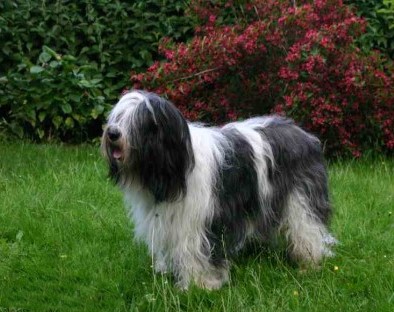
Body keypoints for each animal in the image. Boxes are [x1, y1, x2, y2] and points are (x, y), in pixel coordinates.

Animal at [101, 89, 336, 290]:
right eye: (117, 116)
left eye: (139, 121)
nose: (112, 133)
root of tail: (305, 135)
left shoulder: (199, 221)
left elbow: (196, 250)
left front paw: (198, 285)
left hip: (301, 197)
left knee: (307, 226)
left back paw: (309, 260)